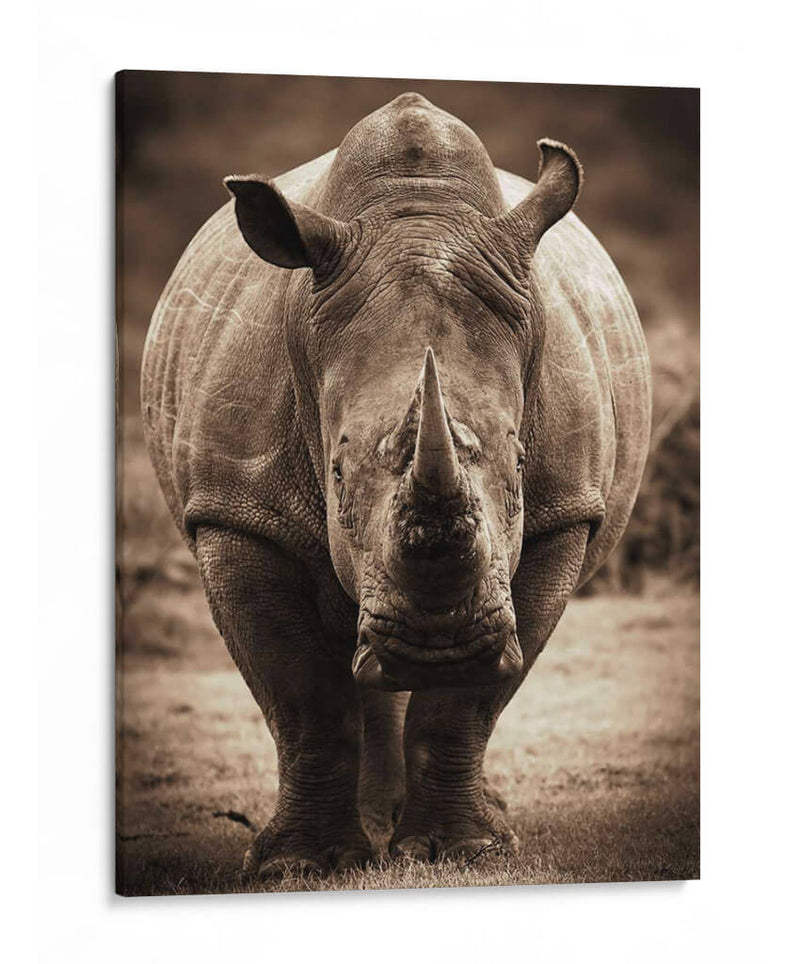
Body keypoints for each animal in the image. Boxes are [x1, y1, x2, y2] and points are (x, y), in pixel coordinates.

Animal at [141, 92, 651, 875]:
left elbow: (467, 706)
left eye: (521, 465)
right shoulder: (234, 511)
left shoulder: (564, 513)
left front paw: (461, 852)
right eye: (335, 471)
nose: (440, 644)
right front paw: (304, 866)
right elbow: (302, 697)